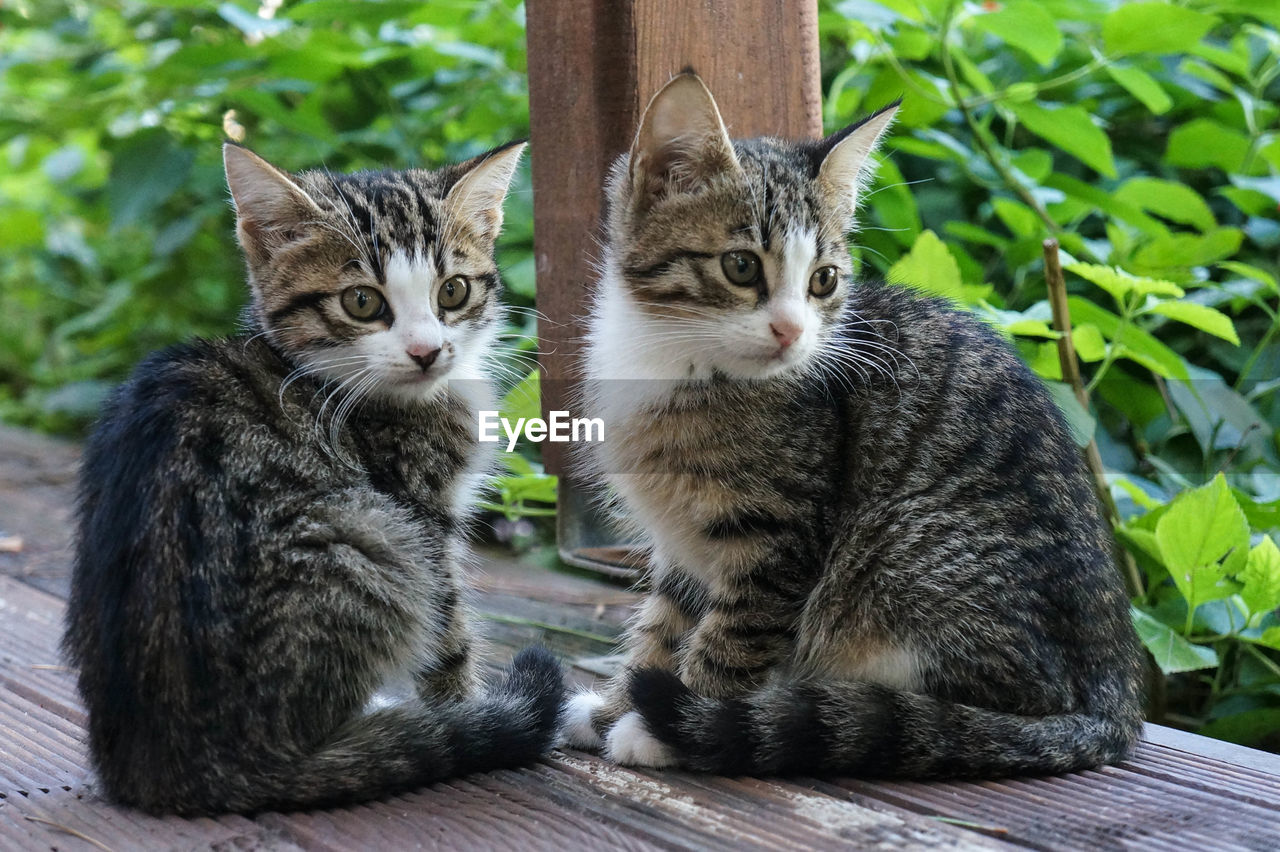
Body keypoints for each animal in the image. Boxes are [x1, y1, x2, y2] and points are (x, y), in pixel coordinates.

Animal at [64, 142, 563, 813]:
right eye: (362, 302)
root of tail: (181, 765)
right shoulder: (420, 514)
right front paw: (466, 708)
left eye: (453, 292)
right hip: (368, 535)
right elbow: (448, 633)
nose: (427, 351)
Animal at [565, 74, 1146, 777]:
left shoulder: (781, 537)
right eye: (741, 266)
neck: (676, 360)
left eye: (823, 280)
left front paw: (671, 722)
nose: (791, 331)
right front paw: (617, 704)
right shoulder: (682, 541)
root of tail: (1116, 691)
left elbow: (735, 633)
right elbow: (663, 622)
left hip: (909, 564)